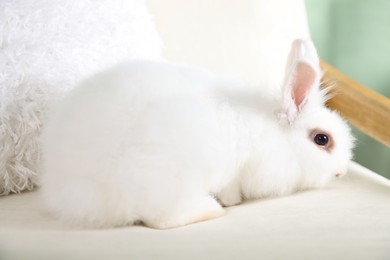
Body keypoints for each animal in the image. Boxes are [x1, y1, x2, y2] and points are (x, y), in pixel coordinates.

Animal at [39, 39, 354, 229]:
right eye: (322, 139)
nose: (340, 172)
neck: (277, 136)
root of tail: (69, 189)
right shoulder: (238, 171)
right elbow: (231, 189)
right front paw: (231, 201)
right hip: (167, 175)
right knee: (161, 218)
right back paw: (211, 209)